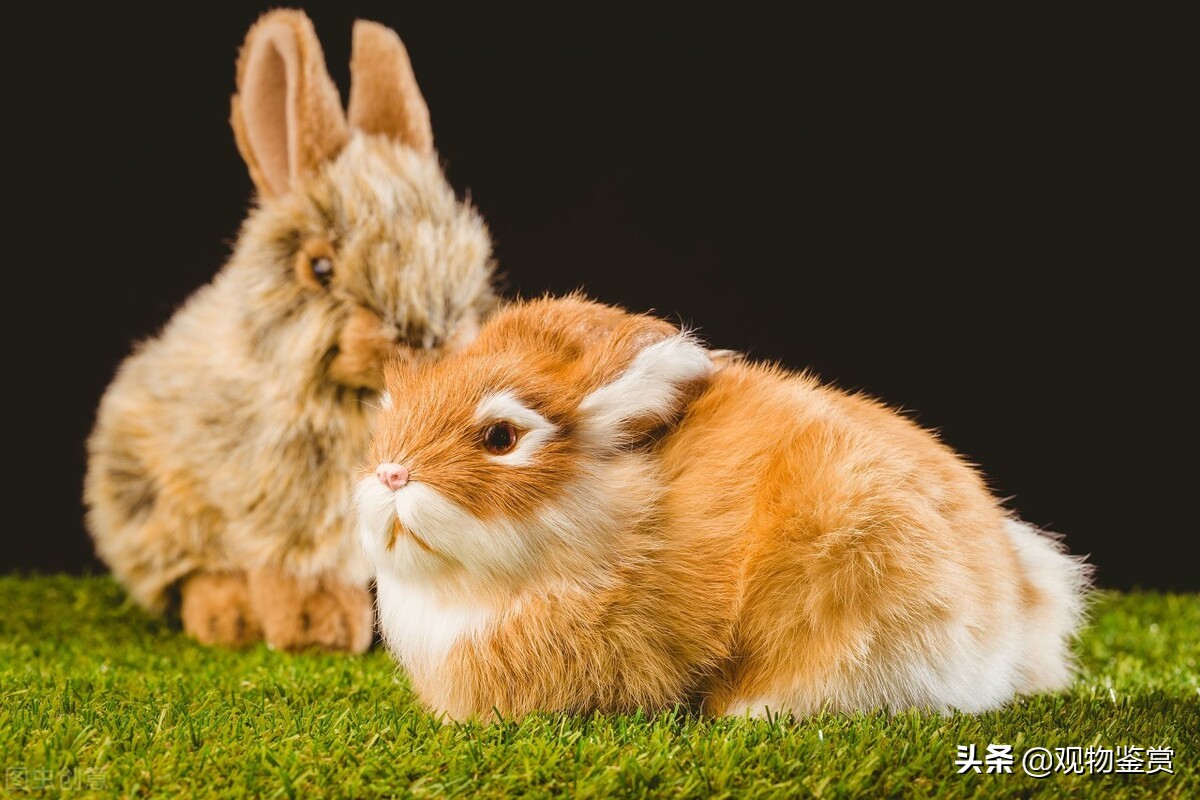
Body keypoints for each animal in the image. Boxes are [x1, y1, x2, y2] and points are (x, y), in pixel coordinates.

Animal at [87, 9, 494, 652]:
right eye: (320, 268)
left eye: (465, 251)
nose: (425, 341)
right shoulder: (286, 508)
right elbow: (296, 570)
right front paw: (316, 631)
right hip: (151, 507)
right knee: (193, 574)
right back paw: (228, 621)